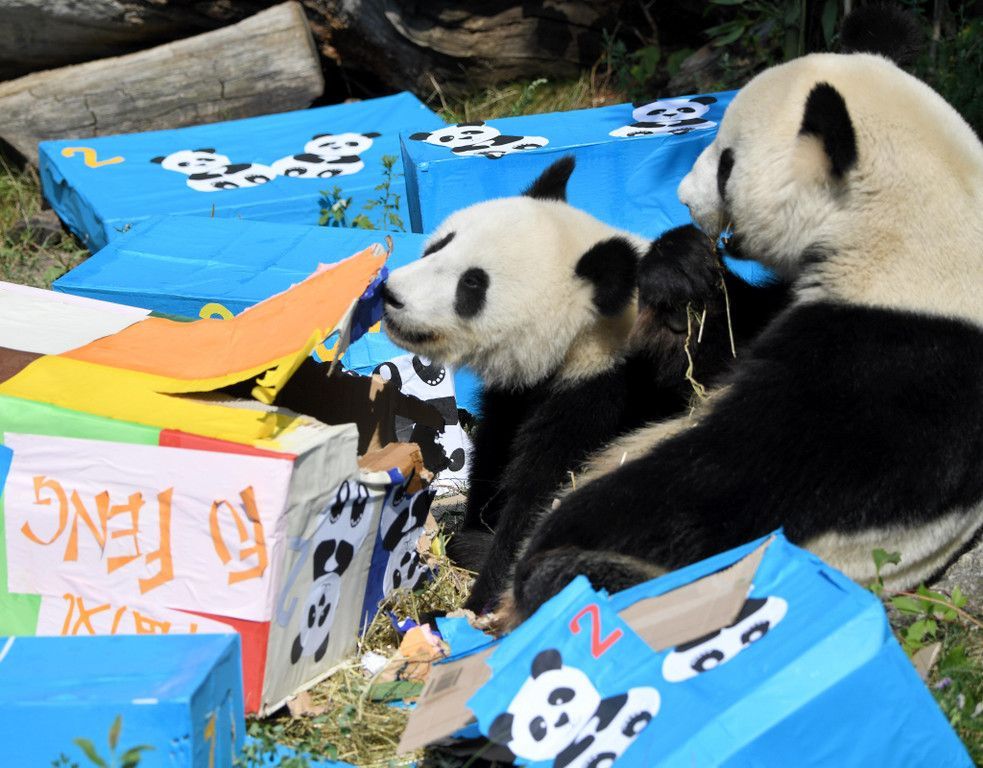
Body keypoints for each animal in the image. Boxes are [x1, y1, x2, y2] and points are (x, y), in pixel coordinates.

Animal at [382, 157, 792, 613]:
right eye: (439, 245)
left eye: (472, 284)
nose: (391, 293)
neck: (588, 332)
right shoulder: (518, 396)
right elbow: (493, 456)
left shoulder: (601, 395)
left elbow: (542, 501)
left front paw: (477, 601)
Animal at [505, 9, 983, 624]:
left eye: (728, 164)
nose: (682, 197)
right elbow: (721, 351)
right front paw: (678, 270)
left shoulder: (886, 362)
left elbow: (737, 478)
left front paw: (560, 527)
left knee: (586, 574)